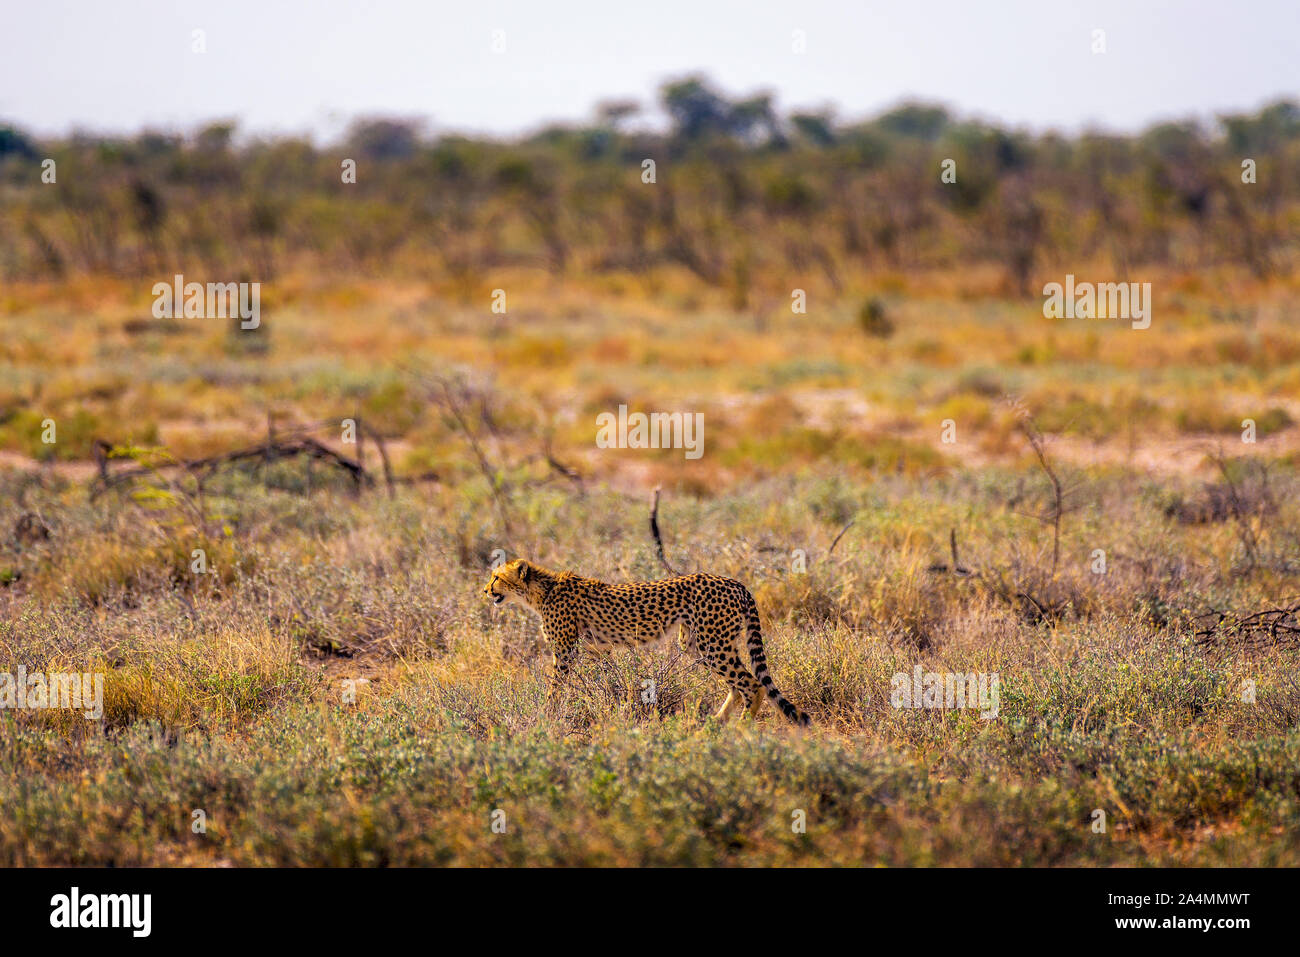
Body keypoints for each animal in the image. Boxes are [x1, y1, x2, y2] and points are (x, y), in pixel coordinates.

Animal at [483, 556, 806, 722]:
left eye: (497, 577)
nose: (485, 590)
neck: (541, 591)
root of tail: (735, 582)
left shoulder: (564, 652)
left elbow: (555, 687)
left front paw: (547, 715)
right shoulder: (599, 650)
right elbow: (606, 681)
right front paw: (612, 707)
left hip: (713, 643)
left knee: (752, 684)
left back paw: (741, 728)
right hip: (696, 644)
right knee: (738, 686)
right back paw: (714, 725)